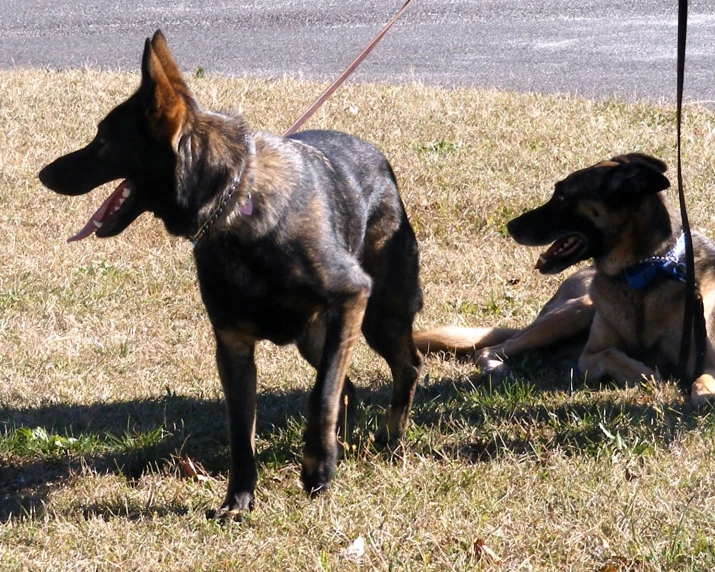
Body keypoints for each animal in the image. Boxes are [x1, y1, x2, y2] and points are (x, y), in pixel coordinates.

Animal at [39, 30, 422, 520]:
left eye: (104, 139)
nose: (44, 174)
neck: (233, 207)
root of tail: (378, 159)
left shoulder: (350, 297)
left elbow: (320, 396)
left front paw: (317, 470)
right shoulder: (233, 347)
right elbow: (243, 431)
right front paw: (238, 500)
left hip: (377, 318)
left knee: (405, 367)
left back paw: (390, 441)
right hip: (317, 336)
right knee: (349, 387)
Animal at [416, 154, 715, 404]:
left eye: (561, 197)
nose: (510, 226)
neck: (642, 274)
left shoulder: (706, 359)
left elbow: (702, 380)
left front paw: (702, 393)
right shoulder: (591, 354)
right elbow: (613, 355)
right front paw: (647, 372)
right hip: (575, 310)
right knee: (491, 349)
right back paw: (499, 368)